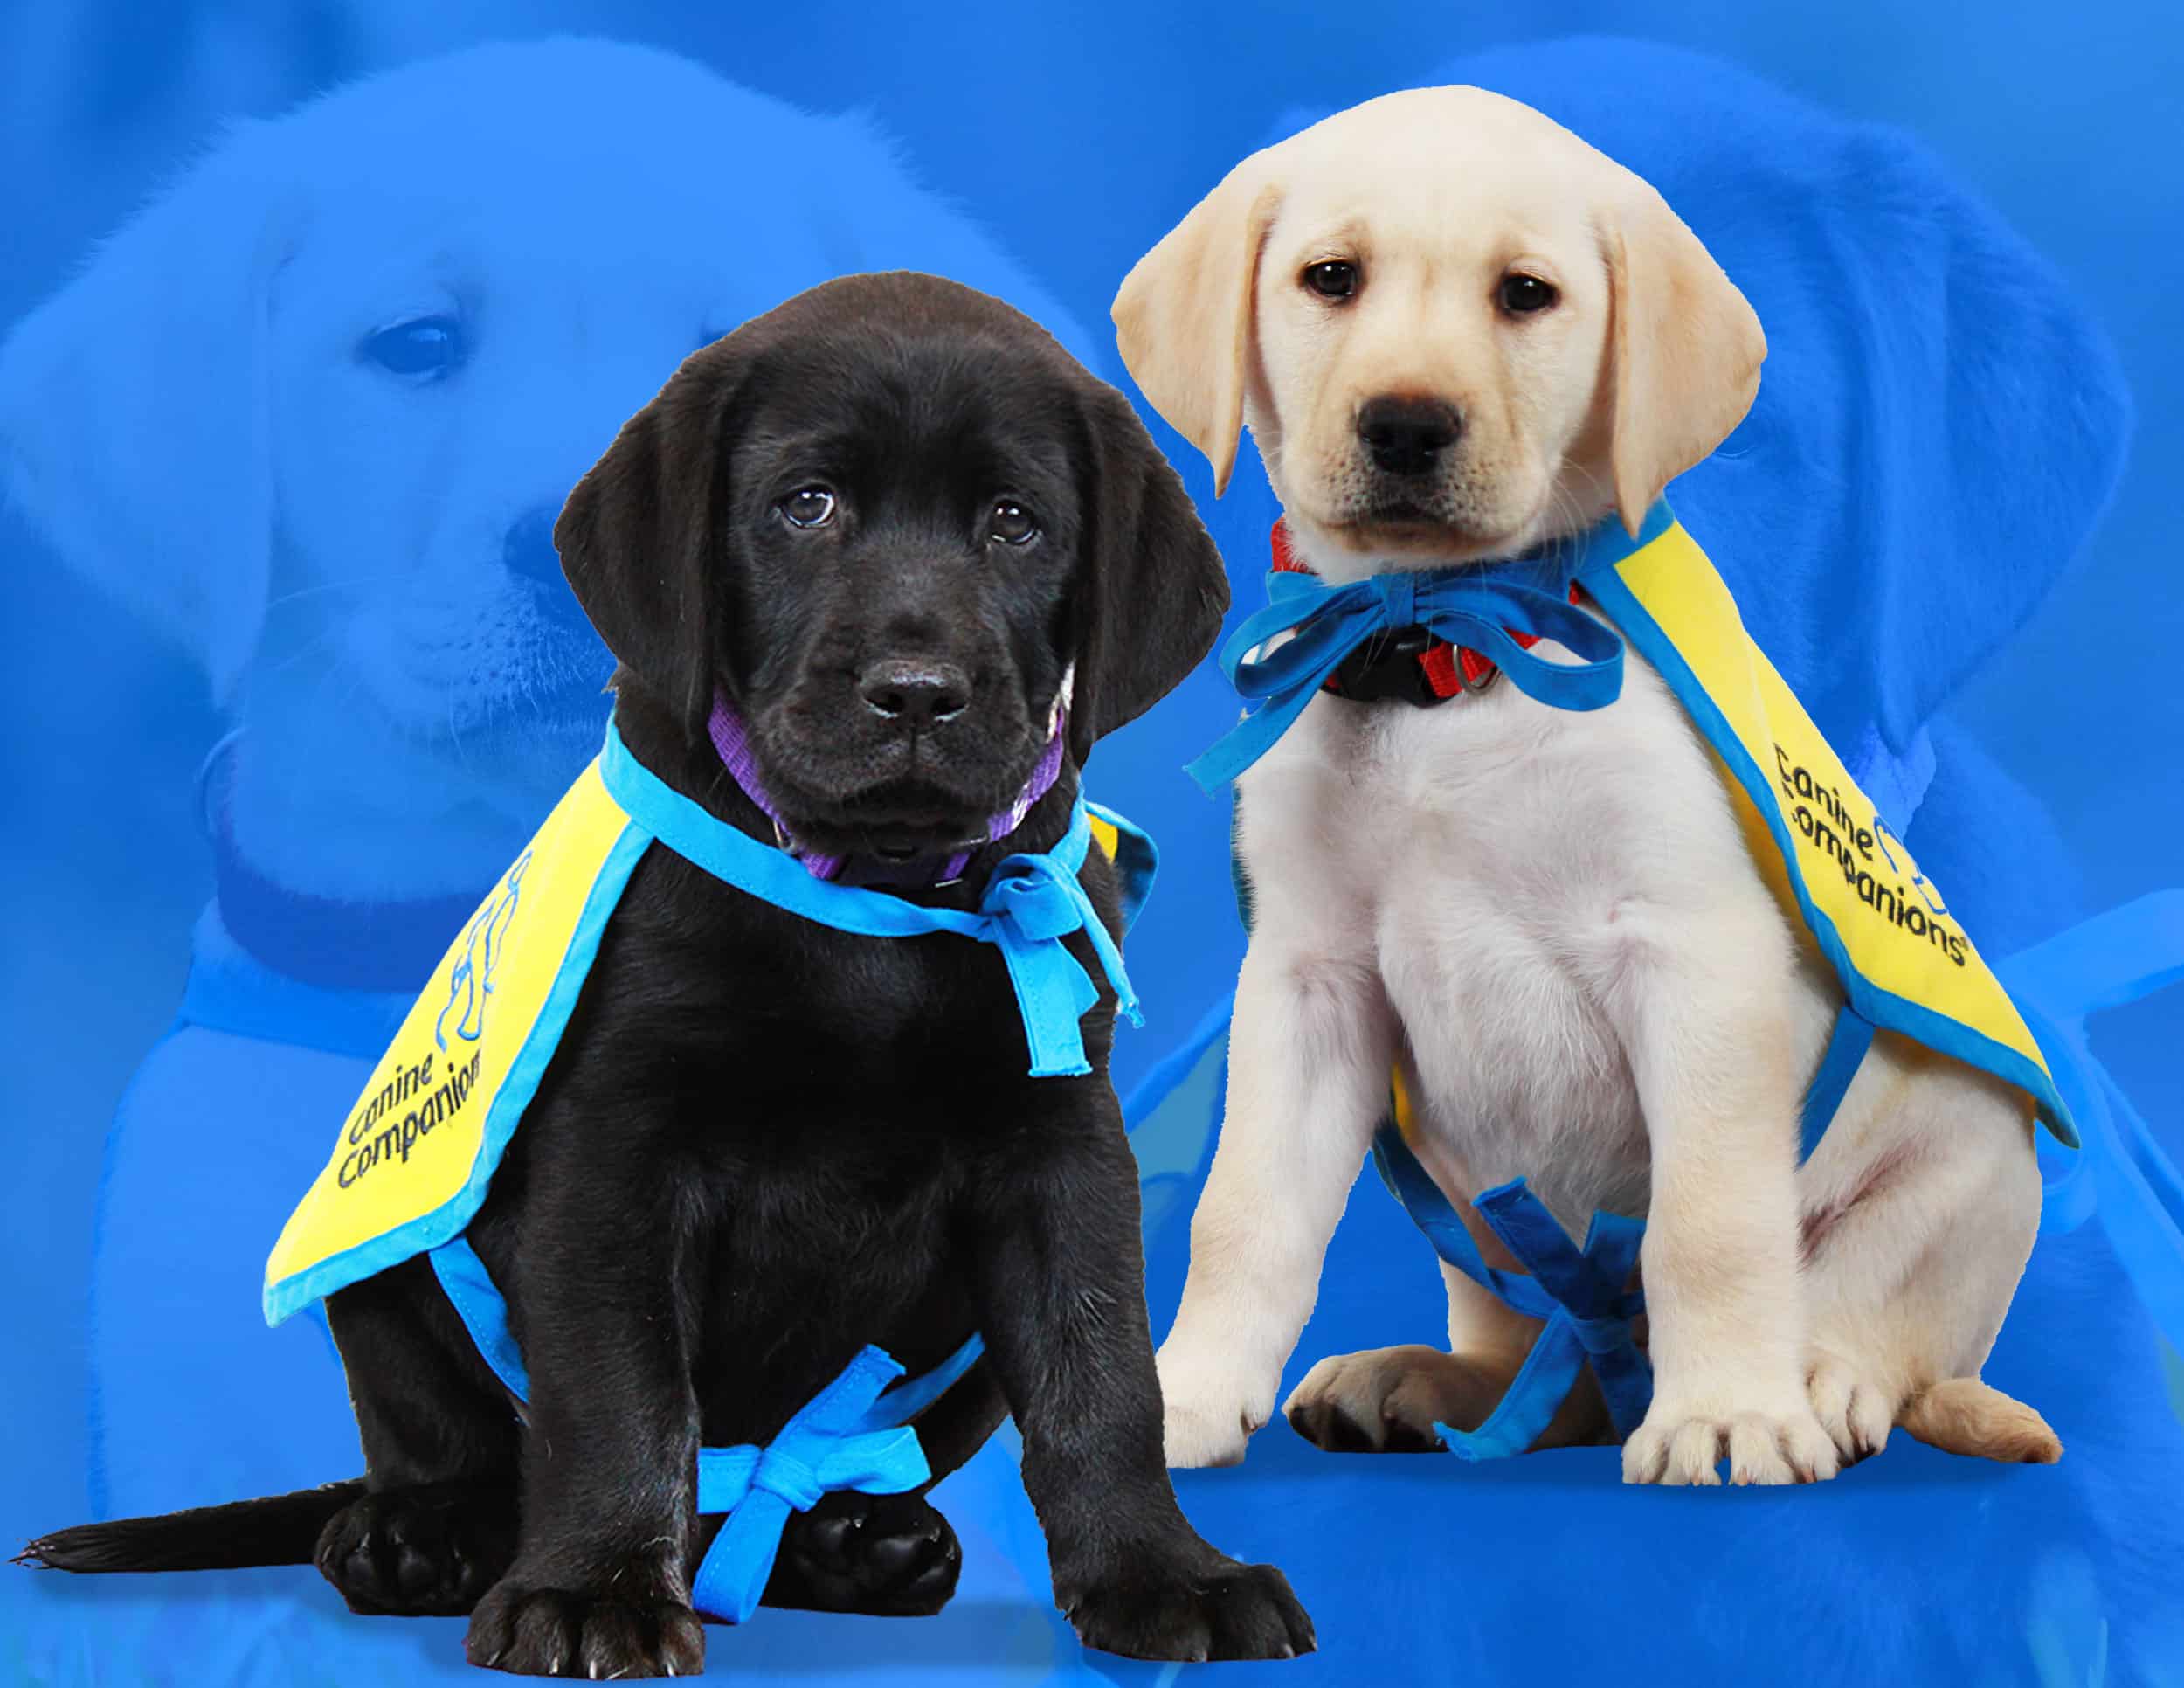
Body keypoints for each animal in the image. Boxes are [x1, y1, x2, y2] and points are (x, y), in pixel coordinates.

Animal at [21, 273, 1310, 1668]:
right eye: (806, 505)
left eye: (1017, 525)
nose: (918, 693)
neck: (874, 899)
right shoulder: (615, 1154)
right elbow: (621, 1392)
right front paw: (592, 1590)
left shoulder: (1060, 1151)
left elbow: (1102, 1376)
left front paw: (1164, 1571)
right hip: (385, 1273)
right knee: (450, 1446)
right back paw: (417, 1537)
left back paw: (849, 1541)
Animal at [1118, 88, 2053, 1484]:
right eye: (1329, 279)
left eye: (1526, 295)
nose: (1406, 425)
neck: (1441, 650)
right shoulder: (1306, 980)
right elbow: (1243, 1215)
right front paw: (1179, 1395)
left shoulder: (1695, 959)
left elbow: (1709, 1222)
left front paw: (1726, 1413)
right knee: (1545, 1370)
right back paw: (1432, 1383)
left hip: (1967, 1160)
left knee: (1875, 1320)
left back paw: (1811, 1383)